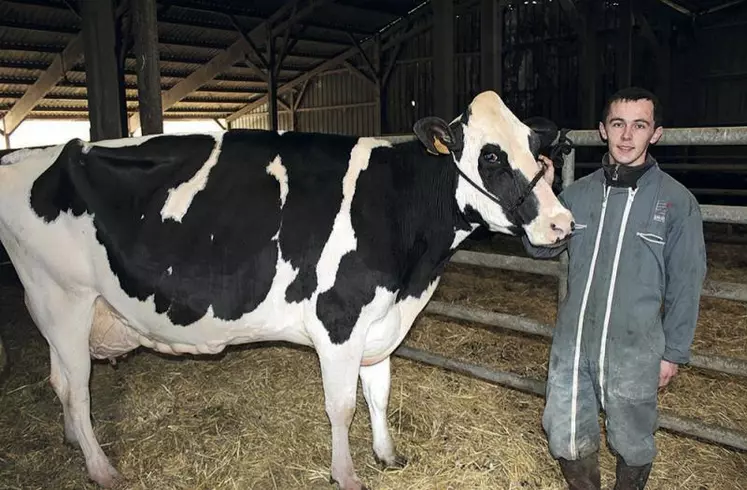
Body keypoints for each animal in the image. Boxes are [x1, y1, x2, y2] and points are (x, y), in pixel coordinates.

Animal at [0, 90, 572, 488]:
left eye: (536, 147)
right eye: (491, 157)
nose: (562, 224)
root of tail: (31, 154)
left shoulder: (378, 321)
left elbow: (380, 393)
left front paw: (388, 455)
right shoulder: (339, 318)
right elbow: (342, 406)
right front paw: (346, 474)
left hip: (61, 309)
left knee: (61, 383)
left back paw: (74, 443)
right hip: (63, 300)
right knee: (78, 390)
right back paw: (101, 468)